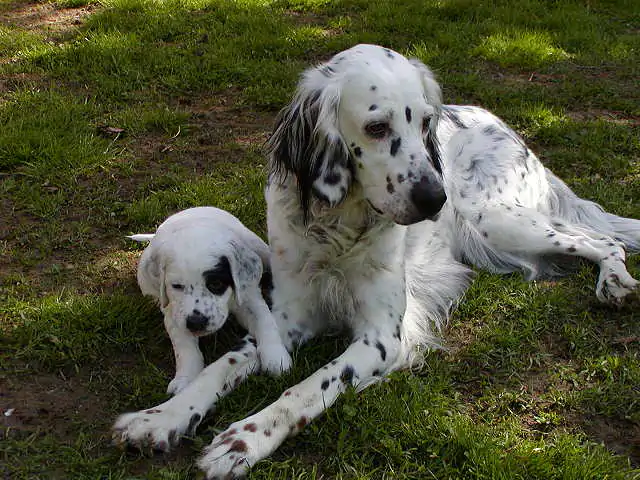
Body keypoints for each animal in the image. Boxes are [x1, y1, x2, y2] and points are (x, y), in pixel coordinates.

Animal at [111, 44, 640, 476]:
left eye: (425, 124)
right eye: (377, 128)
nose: (434, 199)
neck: (339, 227)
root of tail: (498, 120)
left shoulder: (383, 338)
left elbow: (307, 386)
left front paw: (245, 439)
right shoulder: (287, 316)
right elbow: (224, 364)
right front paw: (161, 419)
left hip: (493, 218)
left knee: (599, 239)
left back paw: (614, 282)